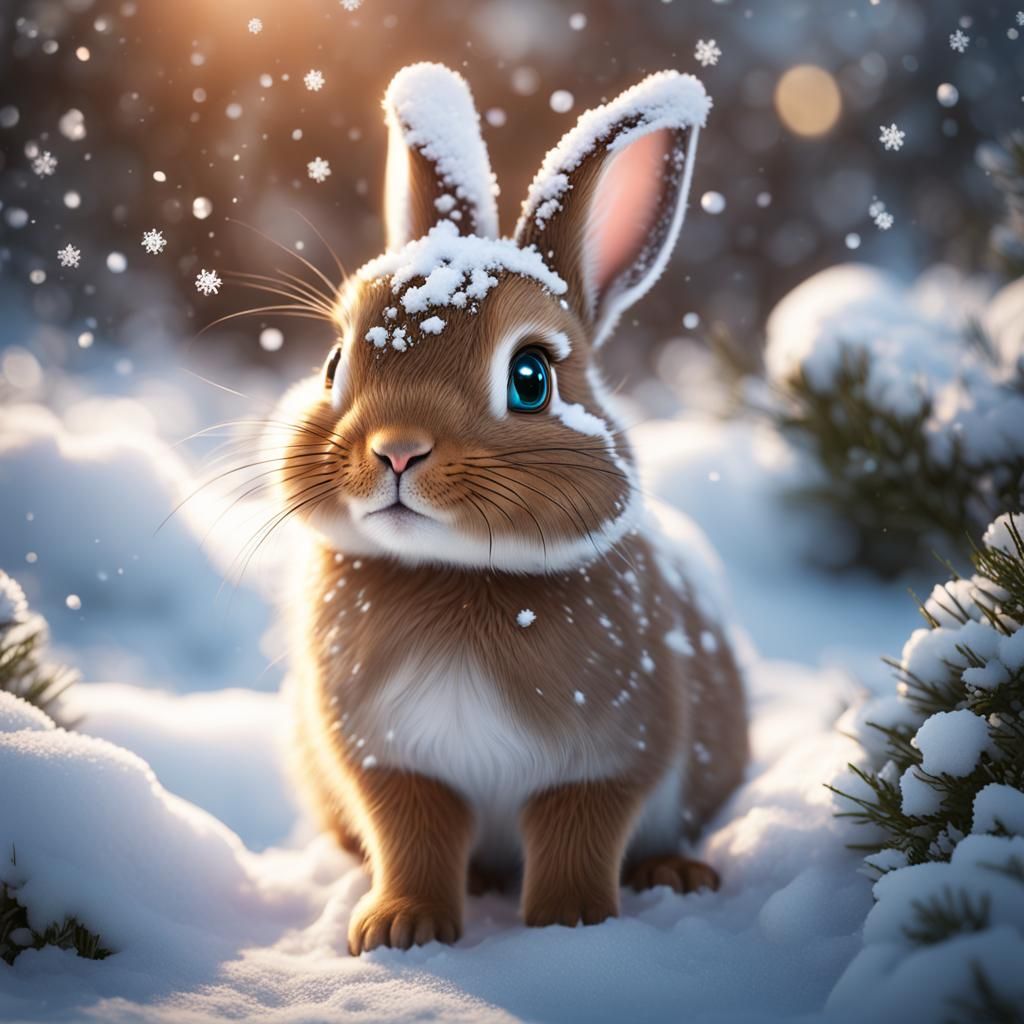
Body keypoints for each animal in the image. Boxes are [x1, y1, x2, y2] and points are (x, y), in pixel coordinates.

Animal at [271, 62, 748, 955]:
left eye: (531, 378)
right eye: (333, 363)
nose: (396, 449)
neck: (459, 575)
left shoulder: (604, 763)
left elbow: (576, 839)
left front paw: (570, 927)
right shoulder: (393, 764)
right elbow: (413, 837)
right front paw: (399, 931)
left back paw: (675, 875)